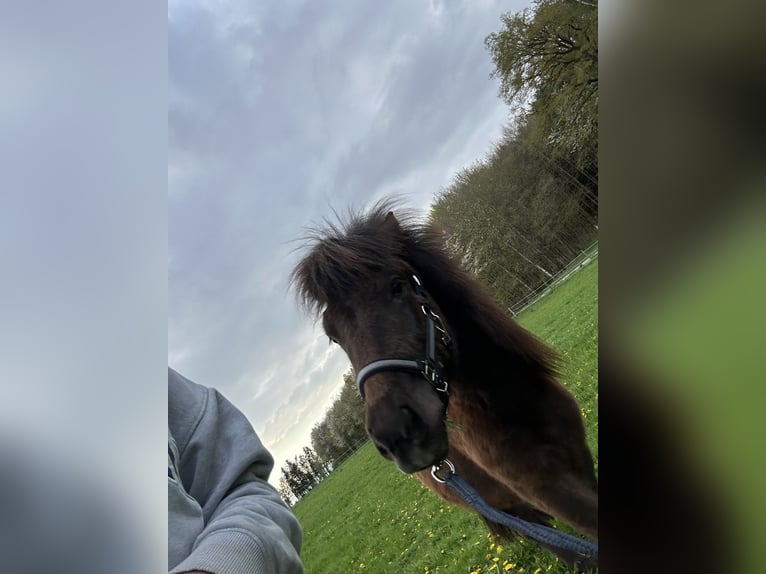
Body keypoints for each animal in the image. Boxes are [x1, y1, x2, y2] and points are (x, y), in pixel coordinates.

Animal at [291, 201, 598, 570]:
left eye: (397, 286)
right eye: (333, 335)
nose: (397, 434)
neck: (509, 403)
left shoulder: (580, 462)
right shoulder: (549, 492)